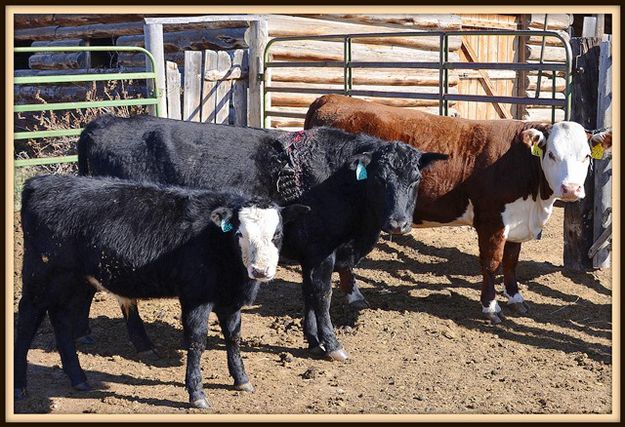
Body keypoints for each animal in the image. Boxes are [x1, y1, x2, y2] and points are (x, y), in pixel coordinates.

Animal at [14, 176, 308, 410]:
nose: (260, 270)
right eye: (239, 234)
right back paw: (20, 387)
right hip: (40, 277)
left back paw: (78, 379)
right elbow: (197, 341)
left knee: (61, 320)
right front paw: (196, 394)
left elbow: (234, 338)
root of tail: (41, 182)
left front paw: (242, 380)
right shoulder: (195, 297)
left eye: (277, 233)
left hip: (72, 281)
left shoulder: (230, 301)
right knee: (27, 321)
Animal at [77, 116, 448, 362]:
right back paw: (142, 342)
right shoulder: (322, 251)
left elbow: (307, 296)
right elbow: (322, 296)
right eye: (379, 179)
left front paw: (312, 340)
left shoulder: (309, 253)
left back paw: (85, 333)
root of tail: (104, 122)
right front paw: (332, 345)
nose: (398, 223)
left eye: (416, 179)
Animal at [304, 95, 612, 324]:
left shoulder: (516, 221)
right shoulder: (491, 221)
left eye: (586, 156)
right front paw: (491, 307)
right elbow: (491, 264)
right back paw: (354, 295)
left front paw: (516, 299)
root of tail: (330, 98)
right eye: (551, 154)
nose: (571, 189)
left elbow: (511, 262)